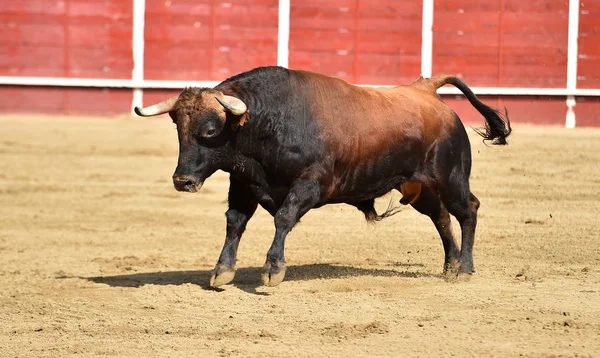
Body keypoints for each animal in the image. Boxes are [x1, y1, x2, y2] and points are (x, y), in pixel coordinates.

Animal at [136, 65, 510, 286]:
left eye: (211, 129)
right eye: (178, 127)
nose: (182, 181)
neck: (268, 120)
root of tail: (425, 91)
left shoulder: (311, 183)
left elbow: (284, 217)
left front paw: (273, 269)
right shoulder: (243, 183)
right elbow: (234, 221)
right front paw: (222, 271)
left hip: (451, 177)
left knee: (468, 211)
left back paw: (466, 268)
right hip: (420, 187)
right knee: (442, 217)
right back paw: (450, 266)